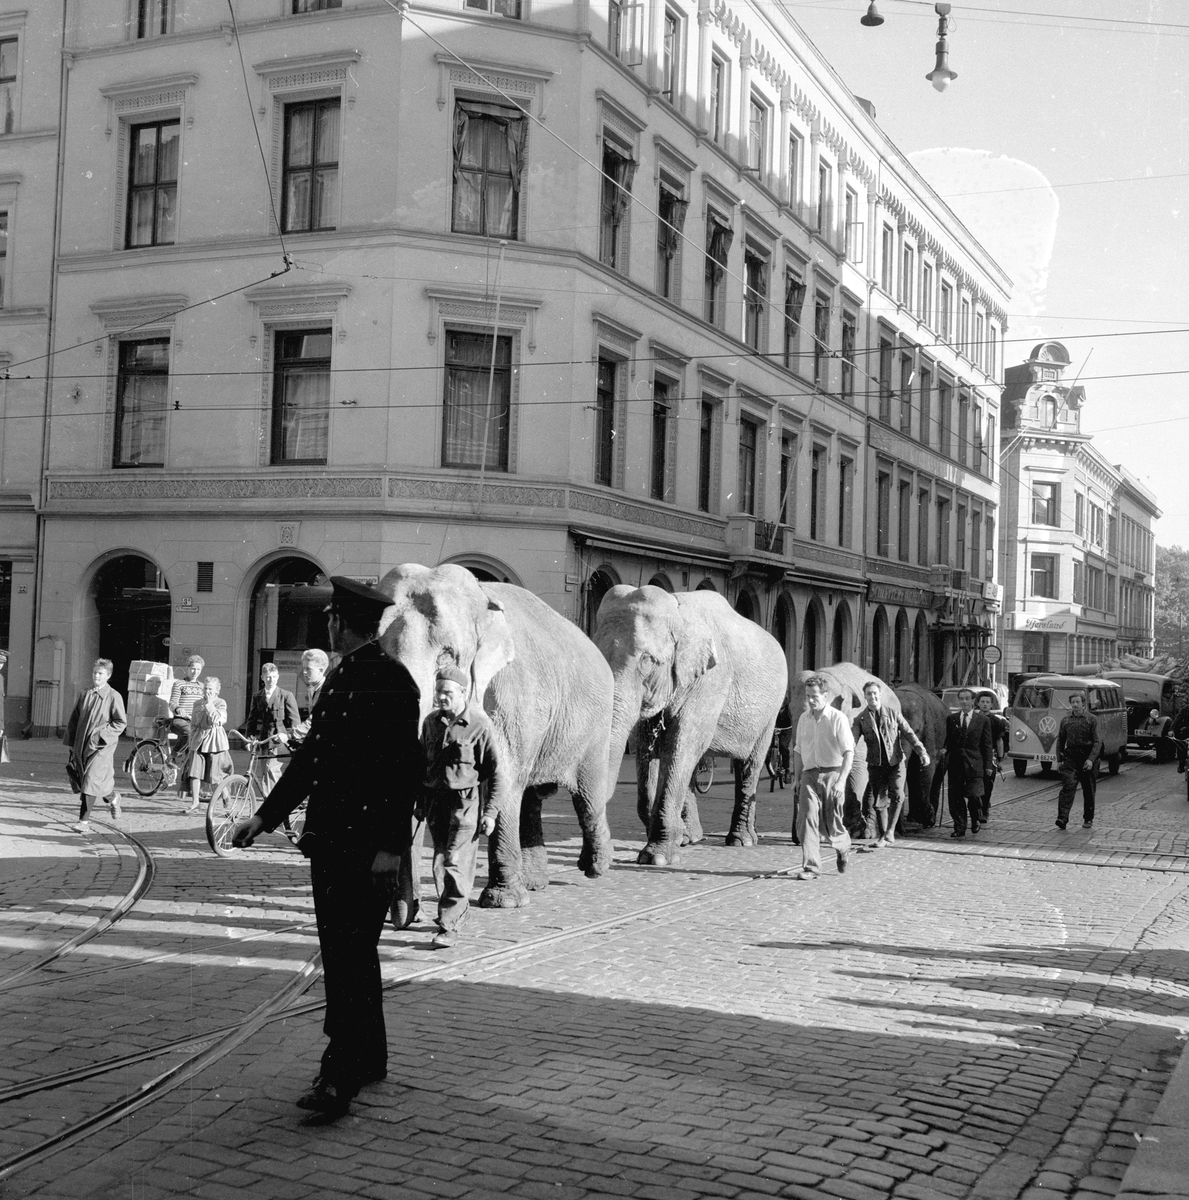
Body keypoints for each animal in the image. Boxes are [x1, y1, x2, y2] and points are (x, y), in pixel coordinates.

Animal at [376, 564, 614, 907]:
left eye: (446, 656)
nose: (412, 910)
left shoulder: (512, 695)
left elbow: (502, 776)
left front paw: (502, 901)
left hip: (594, 723)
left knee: (587, 794)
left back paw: (595, 866)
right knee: (532, 798)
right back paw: (535, 883)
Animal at [595, 580, 791, 864]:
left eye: (647, 660)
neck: (677, 610)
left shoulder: (710, 682)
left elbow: (680, 747)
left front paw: (657, 857)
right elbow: (647, 752)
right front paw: (676, 839)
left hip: (771, 712)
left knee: (750, 764)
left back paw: (741, 840)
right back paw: (697, 837)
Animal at [892, 686, 950, 825]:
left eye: (916, 730)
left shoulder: (929, 730)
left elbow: (926, 766)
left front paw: (928, 817)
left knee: (938, 774)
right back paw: (913, 817)